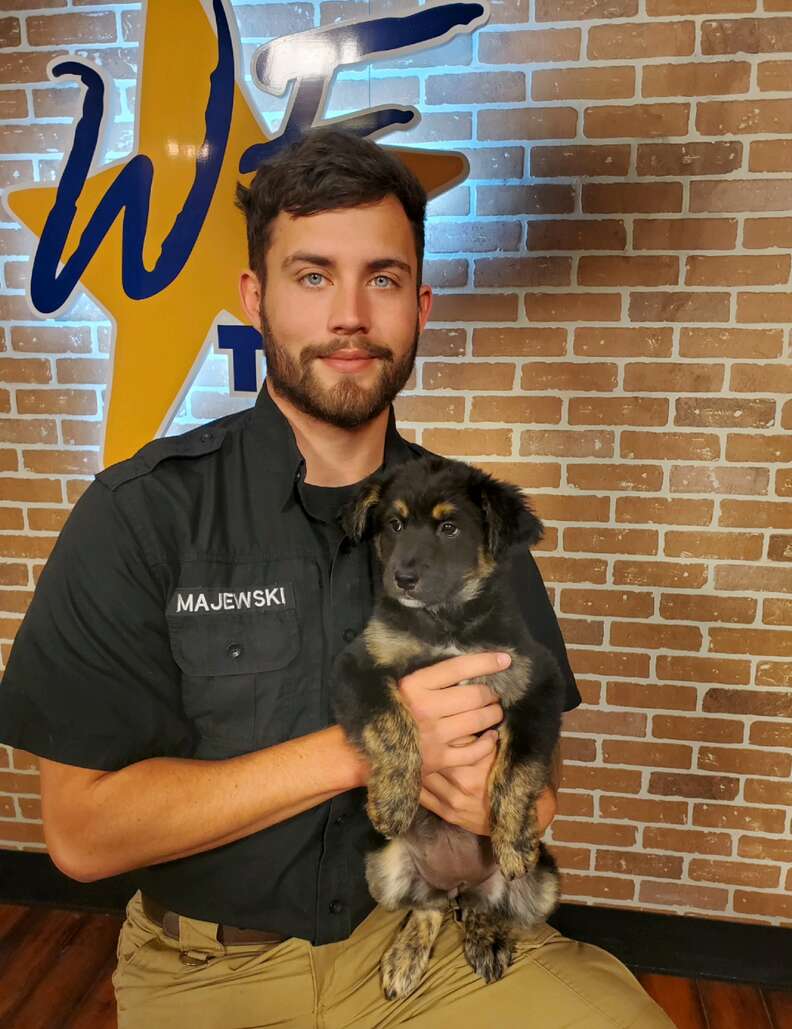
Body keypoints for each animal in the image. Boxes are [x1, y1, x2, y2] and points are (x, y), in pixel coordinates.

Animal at [329, 456, 563, 996]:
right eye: (393, 526)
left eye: (449, 527)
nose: (402, 578)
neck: (445, 623)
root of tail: (459, 882)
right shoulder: (360, 667)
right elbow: (392, 724)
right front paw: (394, 800)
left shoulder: (536, 683)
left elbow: (518, 767)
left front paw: (513, 839)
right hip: (384, 869)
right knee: (429, 907)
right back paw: (405, 957)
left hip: (542, 886)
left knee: (485, 906)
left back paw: (487, 939)